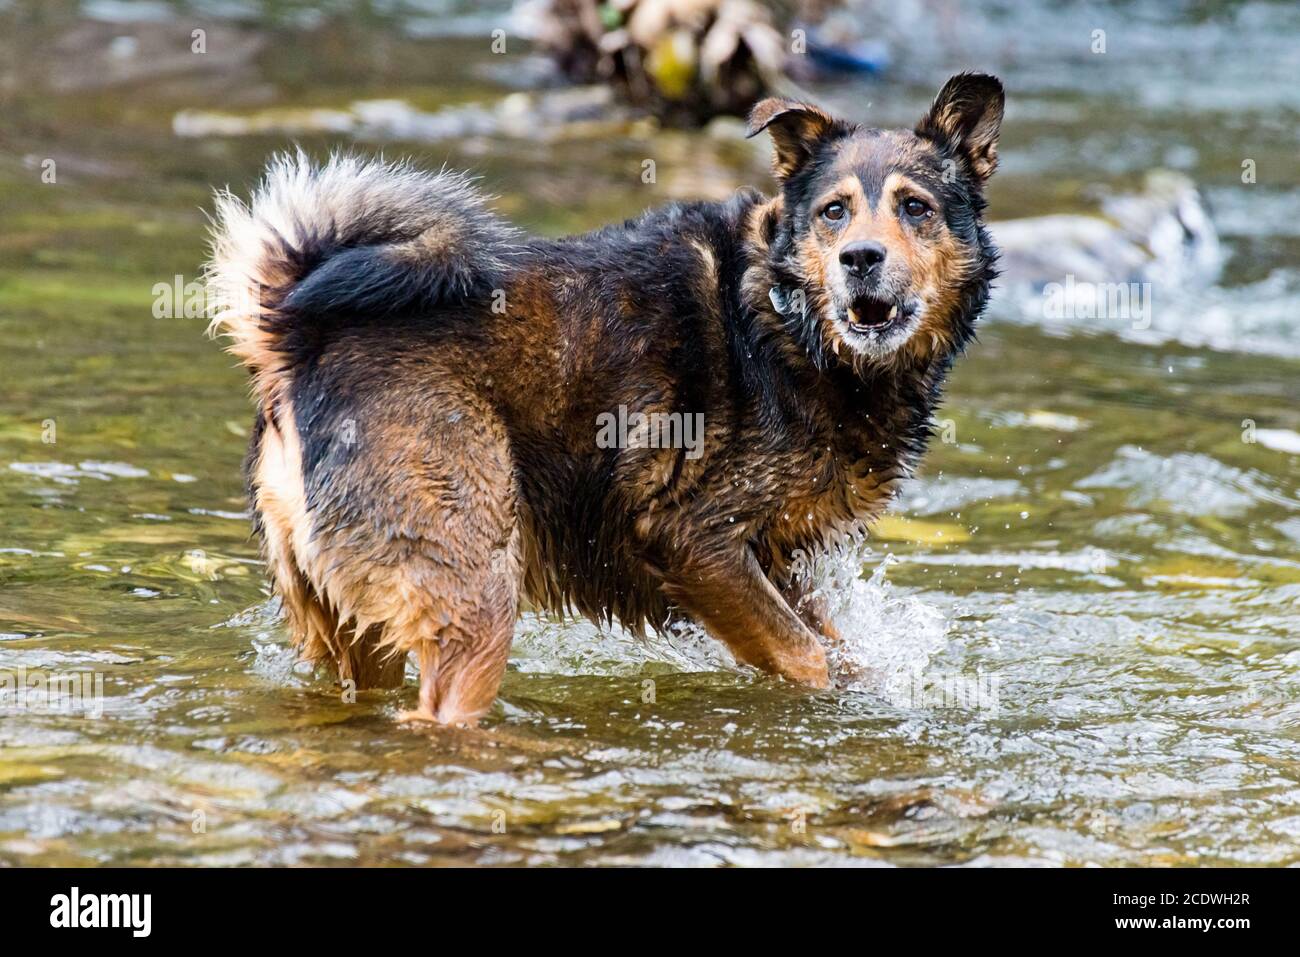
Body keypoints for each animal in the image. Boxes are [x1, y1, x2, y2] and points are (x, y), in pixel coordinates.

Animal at [208, 72, 1003, 722]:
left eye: (915, 207)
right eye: (835, 211)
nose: (860, 259)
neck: (788, 319)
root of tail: (296, 336)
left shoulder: (773, 558)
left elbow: (839, 652)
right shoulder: (693, 540)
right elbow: (806, 655)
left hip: (350, 622)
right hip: (474, 592)